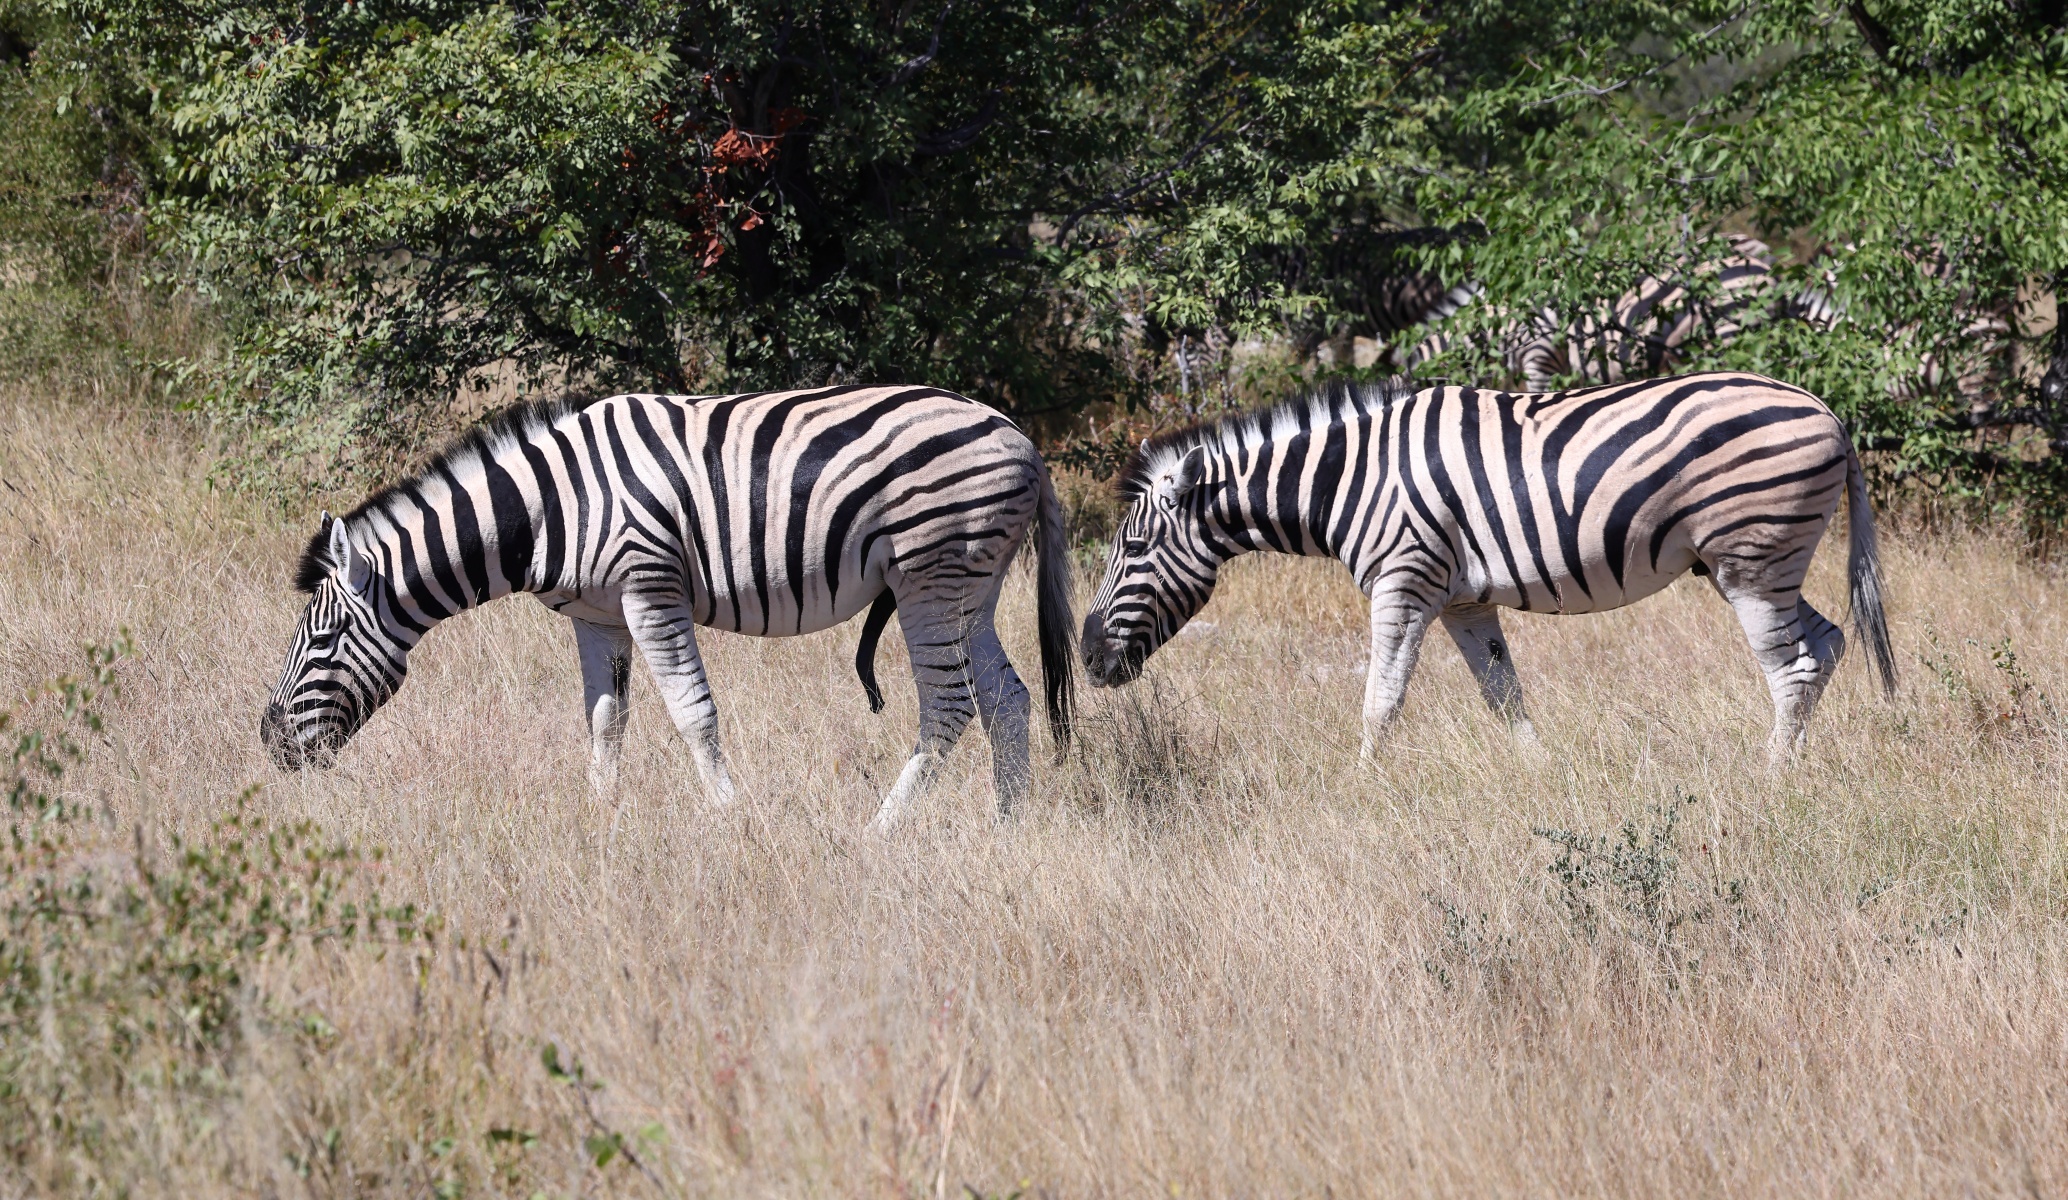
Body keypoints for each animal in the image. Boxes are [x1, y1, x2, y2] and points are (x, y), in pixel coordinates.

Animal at [261, 385, 1075, 832]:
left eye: (323, 638)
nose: (270, 743)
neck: (549, 509)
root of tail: (1024, 442)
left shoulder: (649, 587)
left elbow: (693, 714)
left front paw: (730, 818)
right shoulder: (597, 616)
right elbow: (605, 721)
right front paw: (601, 817)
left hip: (929, 574)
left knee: (950, 706)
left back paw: (880, 832)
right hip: (973, 588)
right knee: (1008, 699)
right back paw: (1005, 827)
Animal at [1079, 372, 1897, 763]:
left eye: (1135, 551)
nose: (1086, 656)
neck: (1350, 480)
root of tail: (1827, 410)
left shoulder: (1403, 581)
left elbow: (1380, 701)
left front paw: (1362, 789)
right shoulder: (1462, 600)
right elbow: (1505, 697)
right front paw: (1543, 780)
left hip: (1749, 560)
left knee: (1792, 666)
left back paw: (1769, 781)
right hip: (1766, 562)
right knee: (1827, 644)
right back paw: (1792, 765)